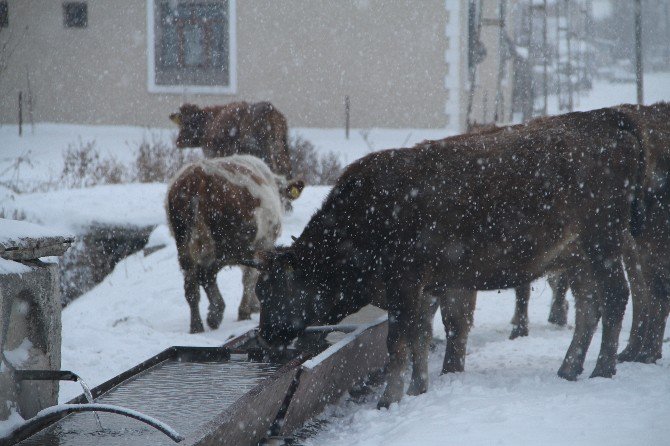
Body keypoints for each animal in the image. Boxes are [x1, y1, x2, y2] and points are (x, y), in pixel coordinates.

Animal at [167, 155, 306, 332]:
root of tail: (196, 177)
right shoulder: (262, 243)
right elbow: (251, 276)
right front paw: (247, 310)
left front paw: (253, 306)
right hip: (225, 245)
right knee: (206, 274)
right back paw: (215, 313)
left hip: (184, 244)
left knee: (191, 284)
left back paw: (197, 325)